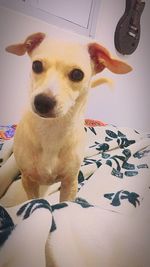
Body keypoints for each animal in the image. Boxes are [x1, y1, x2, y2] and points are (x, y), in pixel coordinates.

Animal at [5, 32, 132, 202]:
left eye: (77, 74)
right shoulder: (28, 180)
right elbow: (33, 199)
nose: (42, 102)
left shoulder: (70, 183)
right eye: (36, 65)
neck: (51, 129)